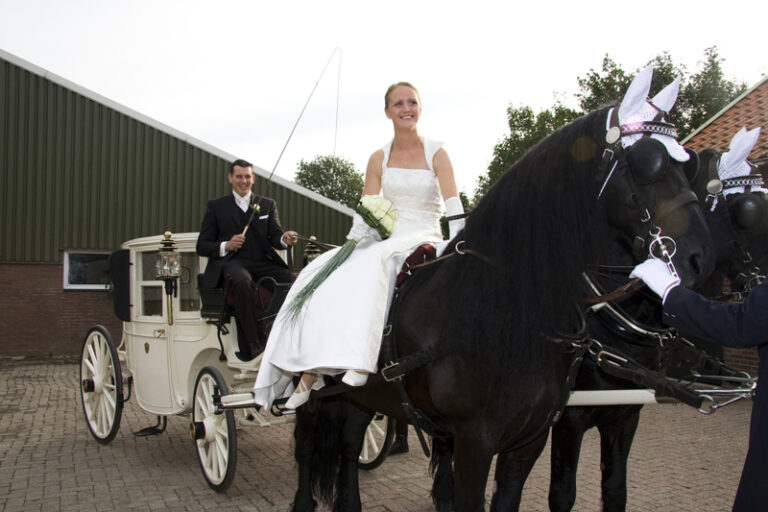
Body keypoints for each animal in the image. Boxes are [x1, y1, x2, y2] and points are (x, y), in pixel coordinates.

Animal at [290, 67, 715, 512]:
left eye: (688, 164)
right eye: (648, 161)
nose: (700, 257)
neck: (504, 308)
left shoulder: (531, 438)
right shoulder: (474, 441)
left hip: (363, 394)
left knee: (350, 441)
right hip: (311, 391)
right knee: (306, 442)